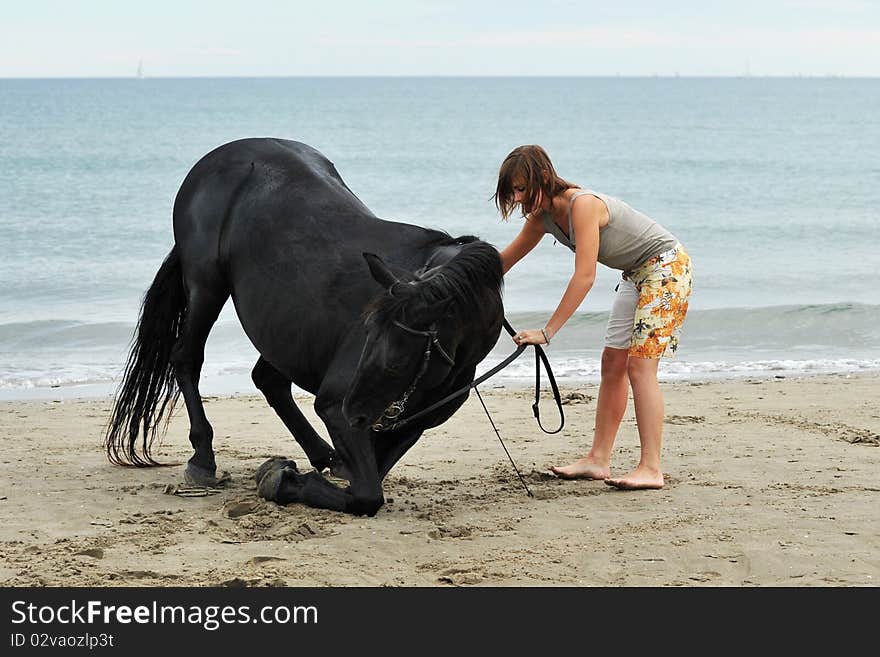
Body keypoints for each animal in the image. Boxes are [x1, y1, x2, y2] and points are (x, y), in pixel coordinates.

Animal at [103, 140, 502, 516]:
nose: (353, 411)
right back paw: (203, 459)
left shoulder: (410, 424)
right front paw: (282, 480)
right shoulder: (336, 405)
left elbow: (371, 480)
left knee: (269, 379)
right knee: (187, 357)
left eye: (397, 361)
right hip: (205, 286)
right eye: (368, 336)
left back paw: (323, 456)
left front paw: (291, 475)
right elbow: (367, 495)